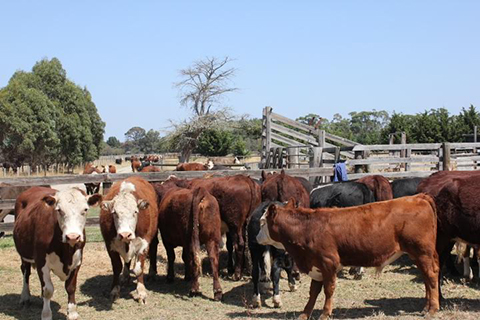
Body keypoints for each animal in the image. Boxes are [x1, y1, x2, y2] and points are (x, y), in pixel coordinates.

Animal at [13, 186, 101, 320]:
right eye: (59, 210)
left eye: (85, 209)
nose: (72, 236)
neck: (66, 250)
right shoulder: (41, 261)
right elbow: (48, 290)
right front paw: (46, 314)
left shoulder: (77, 261)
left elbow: (71, 287)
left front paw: (72, 312)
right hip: (24, 254)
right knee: (25, 271)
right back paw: (25, 297)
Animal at [100, 176, 158, 304]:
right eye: (114, 213)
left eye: (135, 212)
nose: (125, 234)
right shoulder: (110, 245)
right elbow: (117, 268)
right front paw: (114, 291)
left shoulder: (143, 244)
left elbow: (138, 269)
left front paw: (141, 293)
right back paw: (125, 277)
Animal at [256, 195, 440, 320]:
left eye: (262, 222)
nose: (256, 238)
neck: (308, 228)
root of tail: (418, 197)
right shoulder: (317, 266)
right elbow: (313, 292)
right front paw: (305, 313)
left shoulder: (328, 263)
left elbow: (328, 290)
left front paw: (325, 313)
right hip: (418, 255)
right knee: (426, 277)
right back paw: (426, 307)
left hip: (422, 252)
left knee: (431, 276)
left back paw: (432, 309)